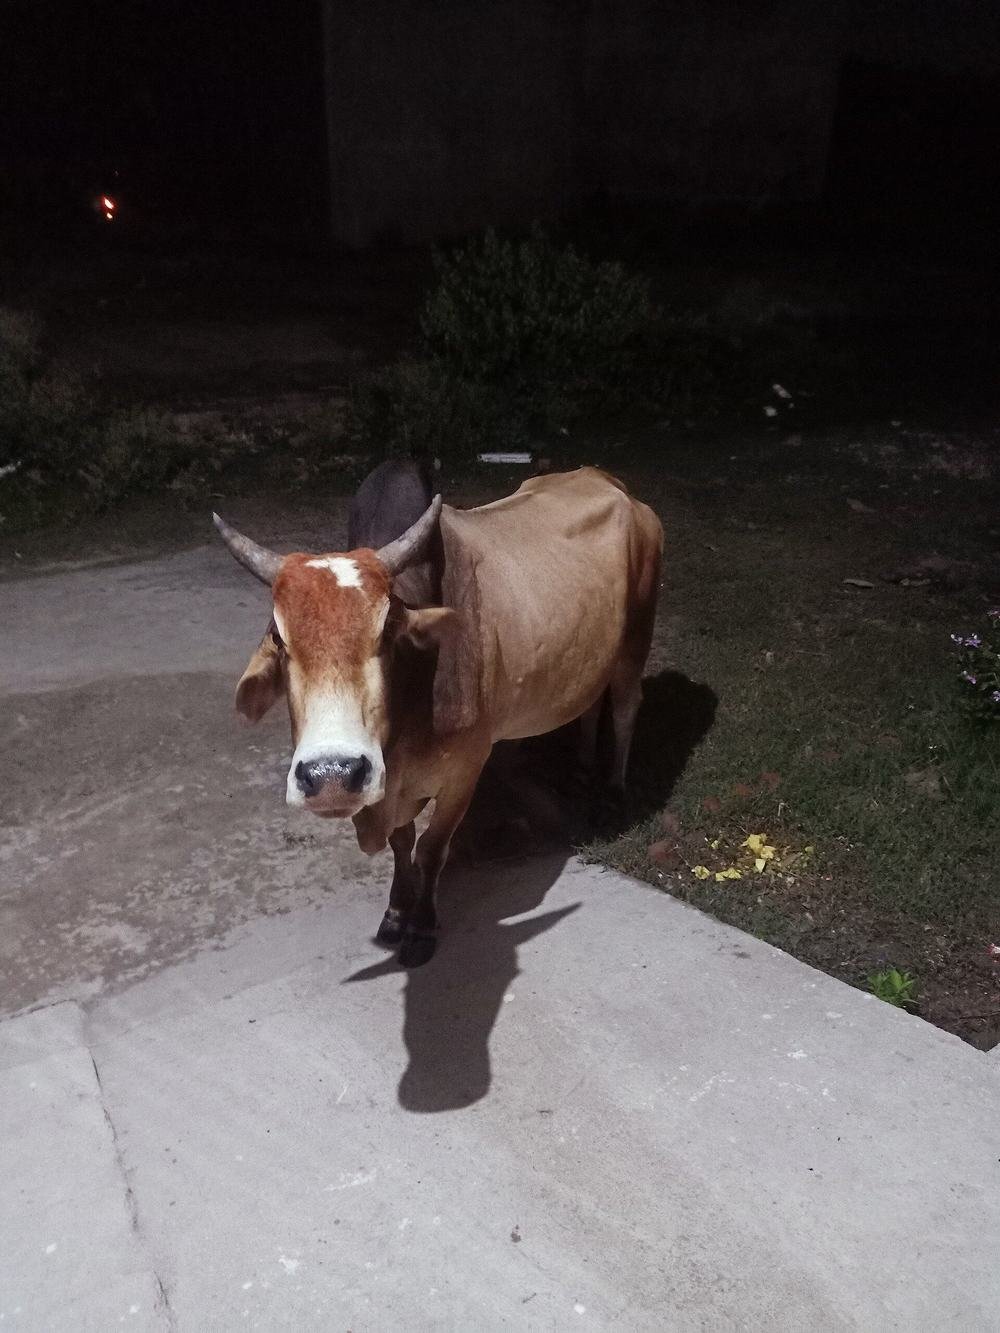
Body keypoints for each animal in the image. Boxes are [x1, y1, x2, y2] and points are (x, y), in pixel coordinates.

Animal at [214, 466, 663, 966]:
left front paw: (422, 927)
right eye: (279, 637)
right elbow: (401, 844)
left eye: (388, 631)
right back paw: (583, 770)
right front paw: (395, 913)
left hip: (635, 640)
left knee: (624, 708)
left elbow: (430, 849)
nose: (333, 776)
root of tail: (610, 483)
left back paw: (612, 796)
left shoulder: (464, 770)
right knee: (591, 702)